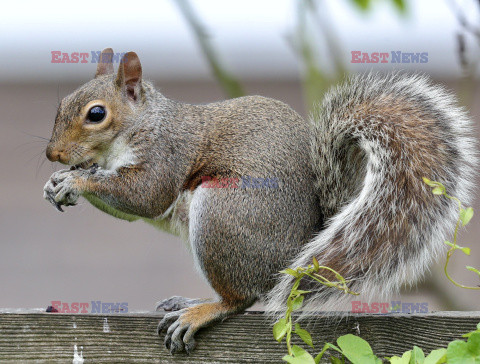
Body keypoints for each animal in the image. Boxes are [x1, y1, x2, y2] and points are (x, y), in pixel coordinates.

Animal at [44, 48, 476, 352]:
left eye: (96, 114)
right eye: (60, 105)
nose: (53, 155)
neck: (142, 124)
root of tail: (299, 260)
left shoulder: (167, 154)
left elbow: (144, 196)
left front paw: (77, 180)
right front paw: (56, 183)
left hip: (221, 216)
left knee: (241, 298)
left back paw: (201, 310)